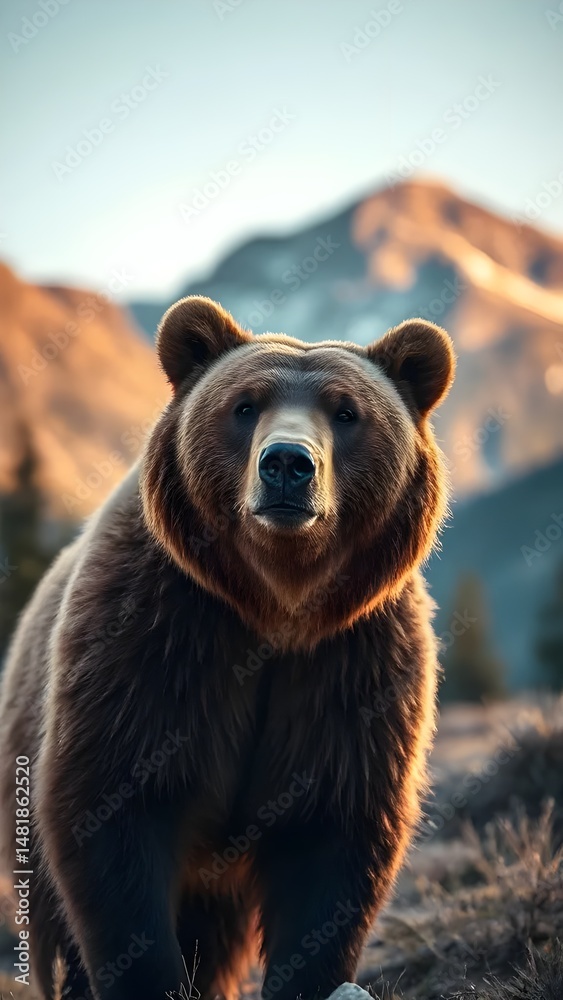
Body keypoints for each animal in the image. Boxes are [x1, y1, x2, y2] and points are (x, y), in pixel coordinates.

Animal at [0, 295, 455, 1000]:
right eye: (245, 405)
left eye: (346, 411)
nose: (288, 464)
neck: (275, 608)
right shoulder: (159, 639)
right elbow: (114, 812)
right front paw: (148, 976)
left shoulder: (351, 668)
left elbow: (334, 839)